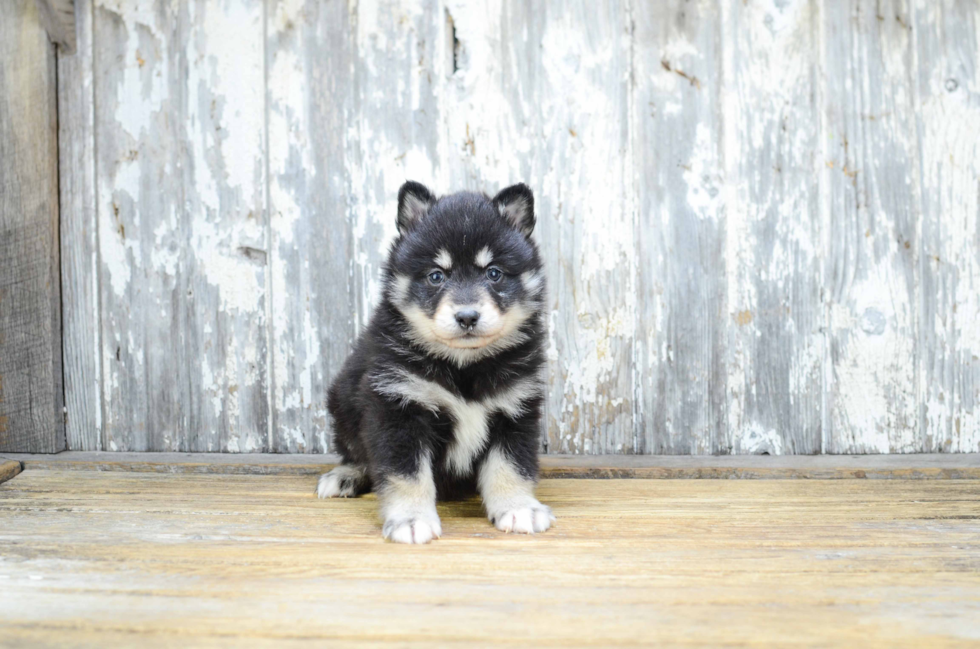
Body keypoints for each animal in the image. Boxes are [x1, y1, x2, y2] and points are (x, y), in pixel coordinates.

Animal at [318, 178, 556, 540]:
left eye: (494, 273)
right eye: (436, 276)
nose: (467, 316)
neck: (463, 368)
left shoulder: (514, 409)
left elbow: (511, 465)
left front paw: (518, 507)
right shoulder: (398, 406)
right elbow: (406, 473)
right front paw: (410, 518)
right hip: (343, 400)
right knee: (356, 452)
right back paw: (346, 475)